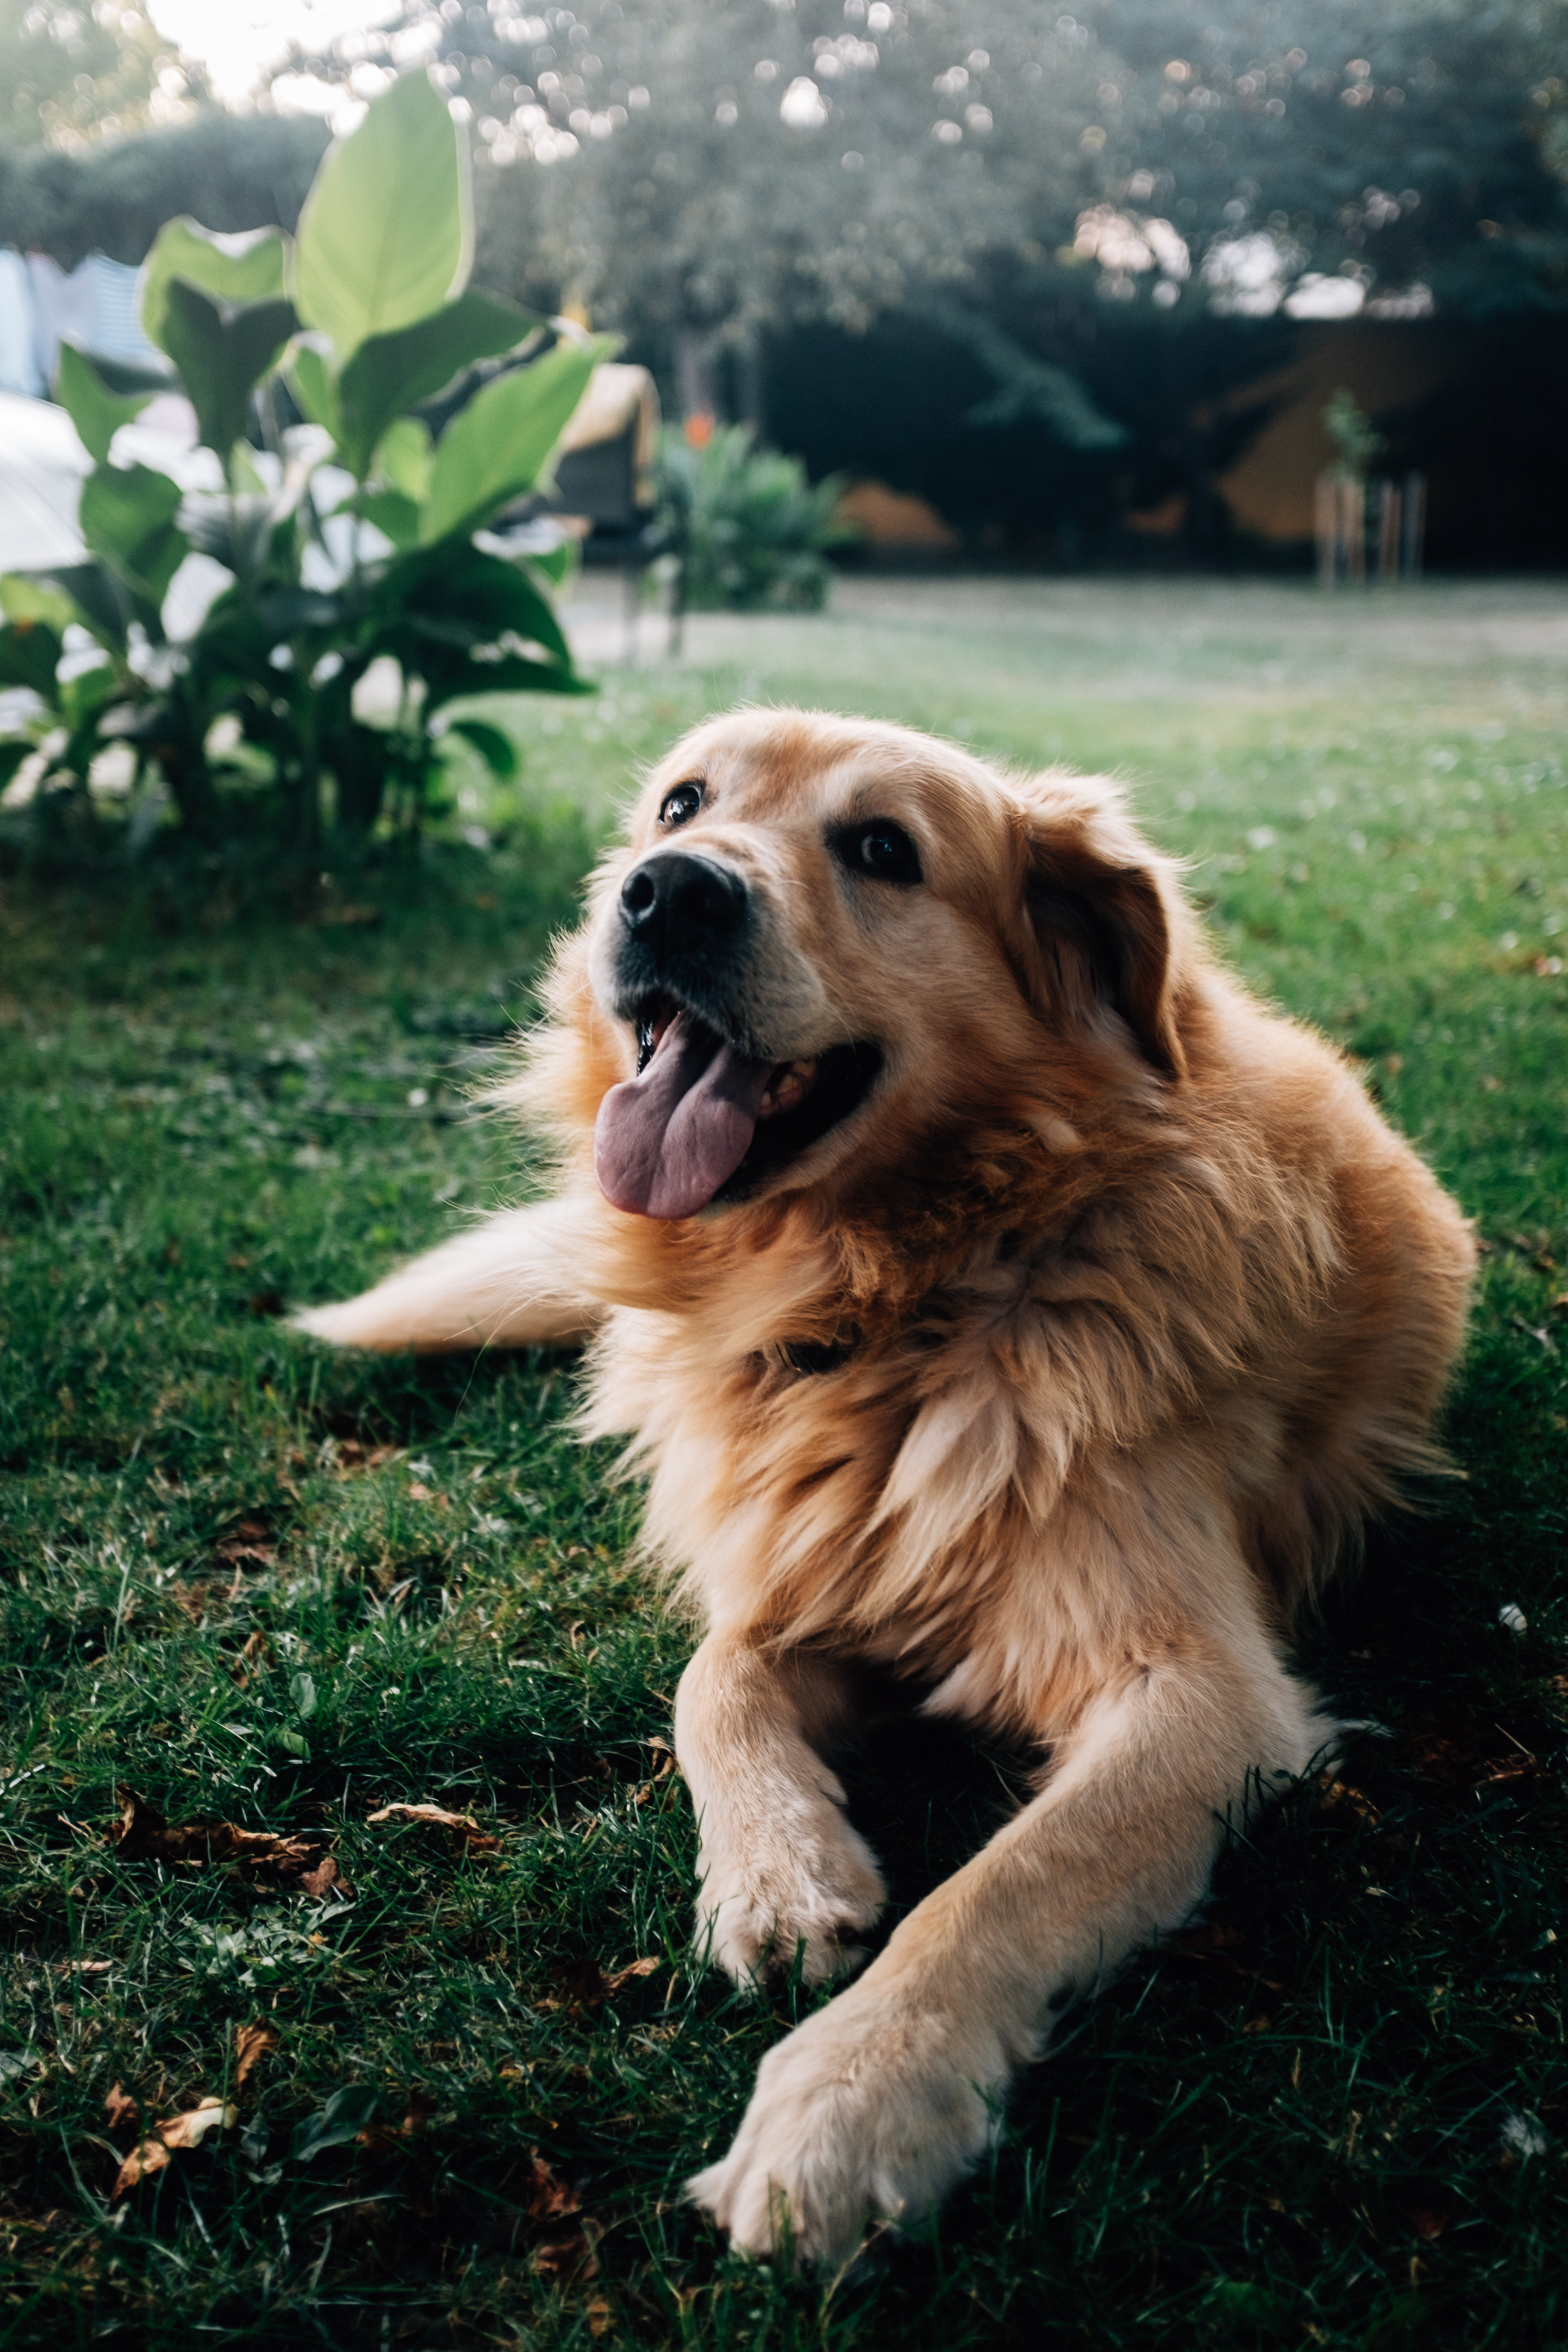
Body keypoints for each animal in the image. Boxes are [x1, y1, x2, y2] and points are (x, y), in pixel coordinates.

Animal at [301, 705, 1476, 2267]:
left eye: (879, 848)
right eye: (680, 801)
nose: (666, 893)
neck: (901, 1300)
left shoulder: (1199, 1693)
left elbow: (1000, 1886)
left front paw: (847, 2103)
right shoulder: (814, 1573)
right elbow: (709, 1680)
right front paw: (778, 1871)